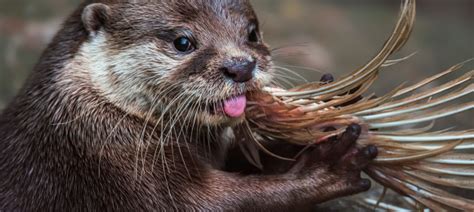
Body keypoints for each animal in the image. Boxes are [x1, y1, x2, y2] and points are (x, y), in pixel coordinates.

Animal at [0, 0, 378, 211]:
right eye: (183, 41)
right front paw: (327, 168)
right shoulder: (110, 158)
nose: (241, 66)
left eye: (252, 32)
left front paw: (308, 127)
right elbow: (213, 202)